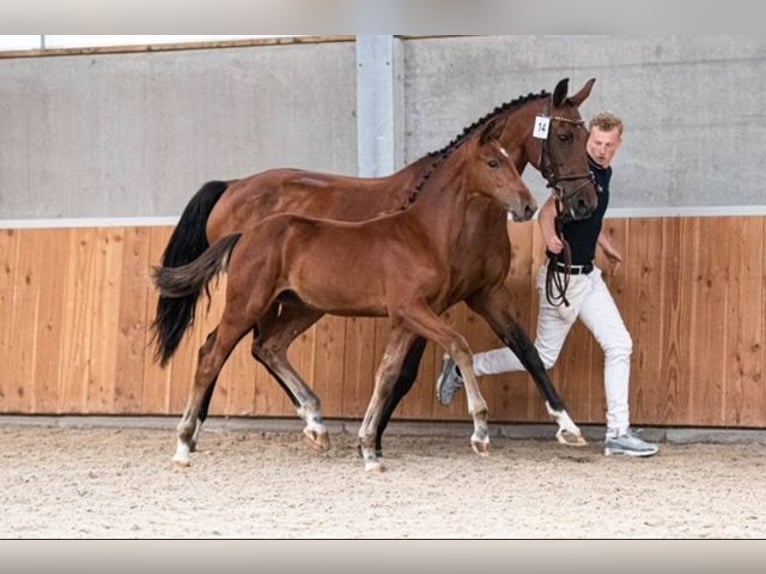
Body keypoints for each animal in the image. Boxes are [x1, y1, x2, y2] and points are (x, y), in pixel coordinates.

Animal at [152, 79, 600, 460]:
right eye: (564, 136)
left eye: (587, 137)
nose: (584, 202)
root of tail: (231, 186)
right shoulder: (427, 305)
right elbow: (406, 371)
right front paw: (376, 440)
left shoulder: (484, 293)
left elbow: (527, 351)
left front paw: (568, 426)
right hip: (256, 298)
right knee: (223, 348)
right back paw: (196, 434)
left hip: (298, 303)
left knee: (261, 347)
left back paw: (309, 424)